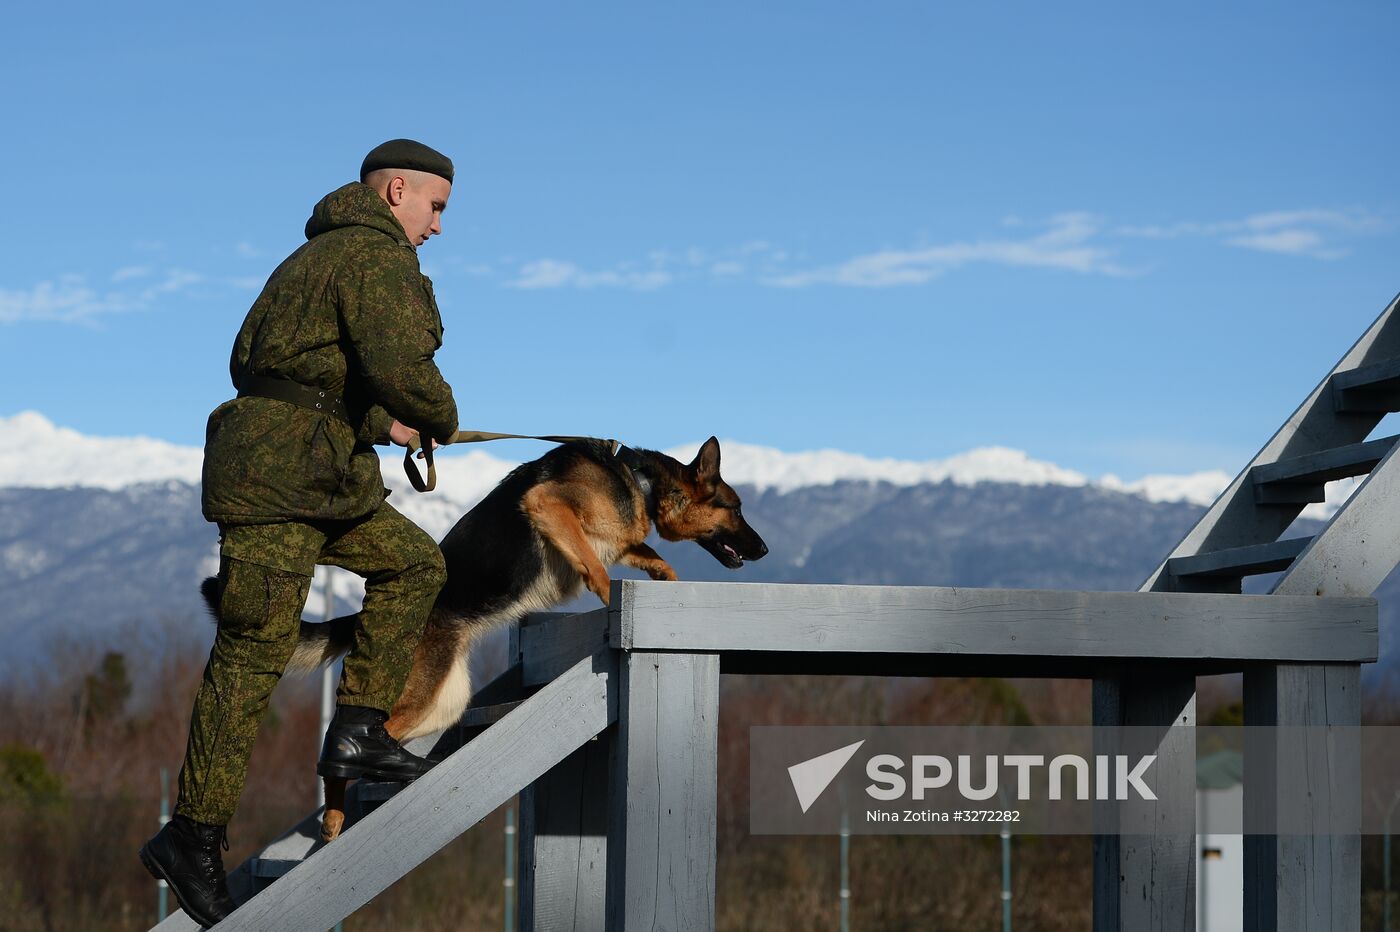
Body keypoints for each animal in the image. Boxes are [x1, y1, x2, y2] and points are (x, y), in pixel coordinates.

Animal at [204, 439, 767, 839]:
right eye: (736, 507)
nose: (763, 550)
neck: (640, 481)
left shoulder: (621, 540)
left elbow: (652, 557)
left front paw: (667, 586)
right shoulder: (549, 506)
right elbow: (597, 565)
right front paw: (612, 601)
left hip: (444, 702)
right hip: (418, 698)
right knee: (337, 745)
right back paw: (335, 817)